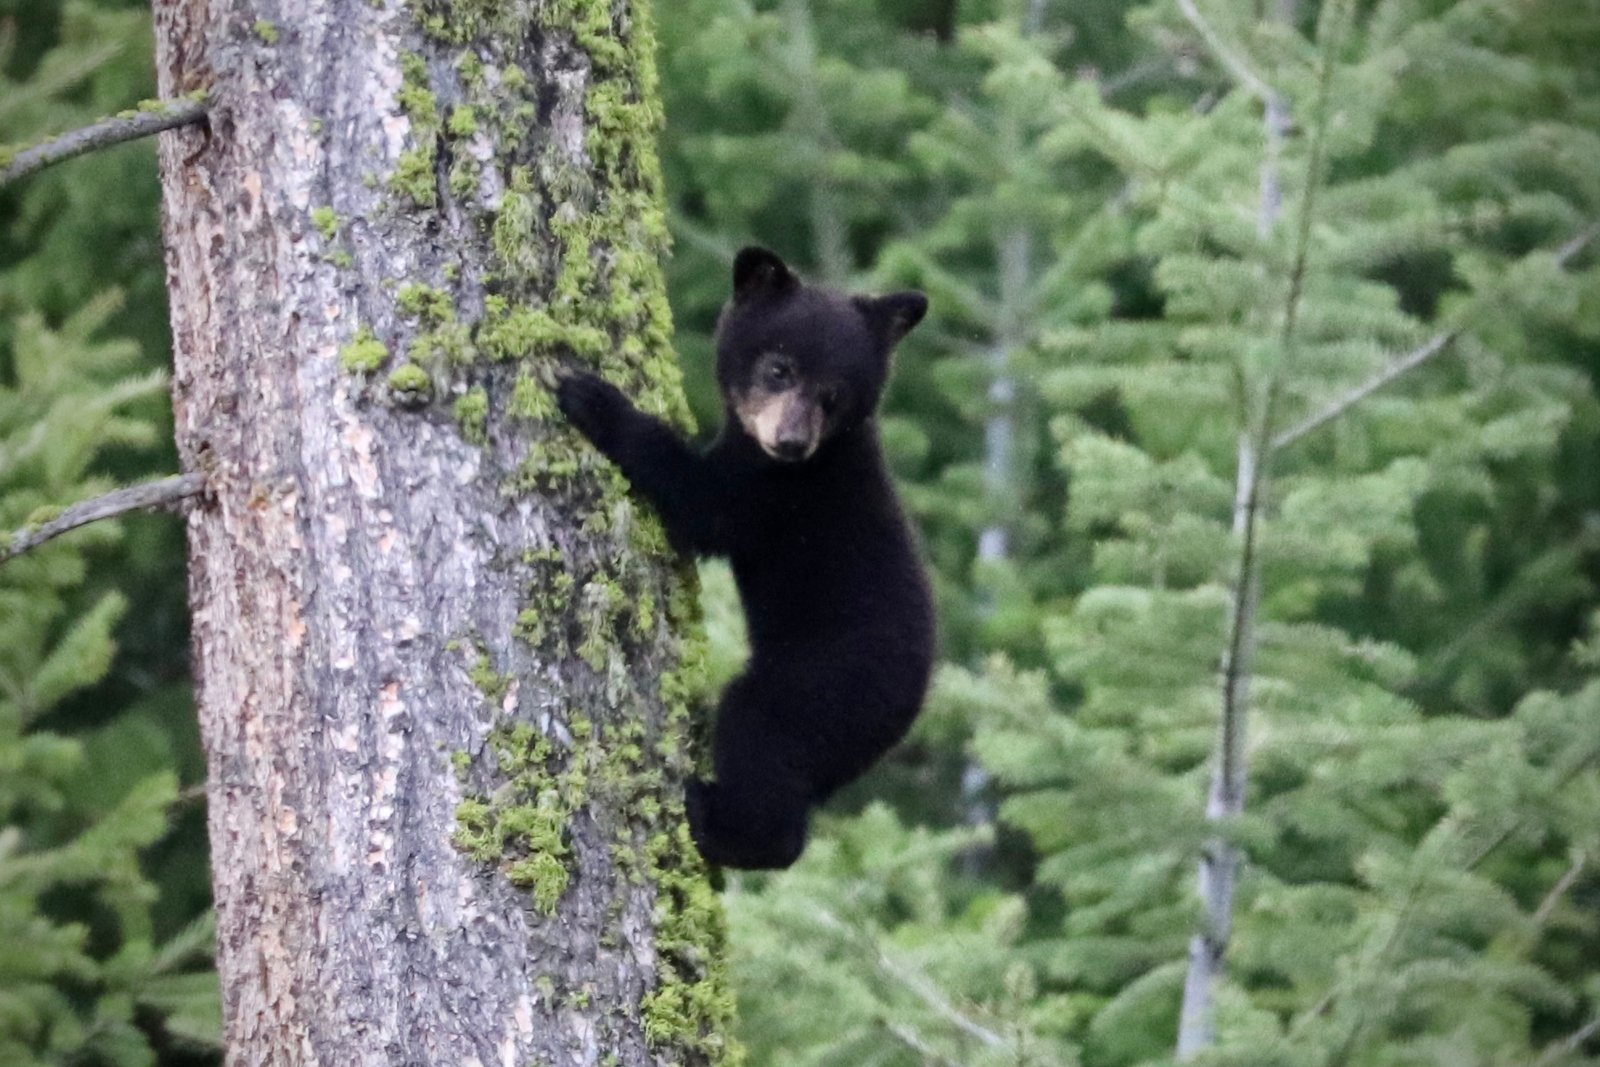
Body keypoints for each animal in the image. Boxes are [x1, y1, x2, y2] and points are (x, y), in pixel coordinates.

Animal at [556, 246, 935, 870]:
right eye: (780, 369)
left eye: (834, 395)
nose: (791, 442)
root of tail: (906, 718)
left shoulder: (774, 496)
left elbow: (703, 506)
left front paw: (597, 401)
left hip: (820, 688)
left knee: (762, 742)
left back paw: (714, 822)